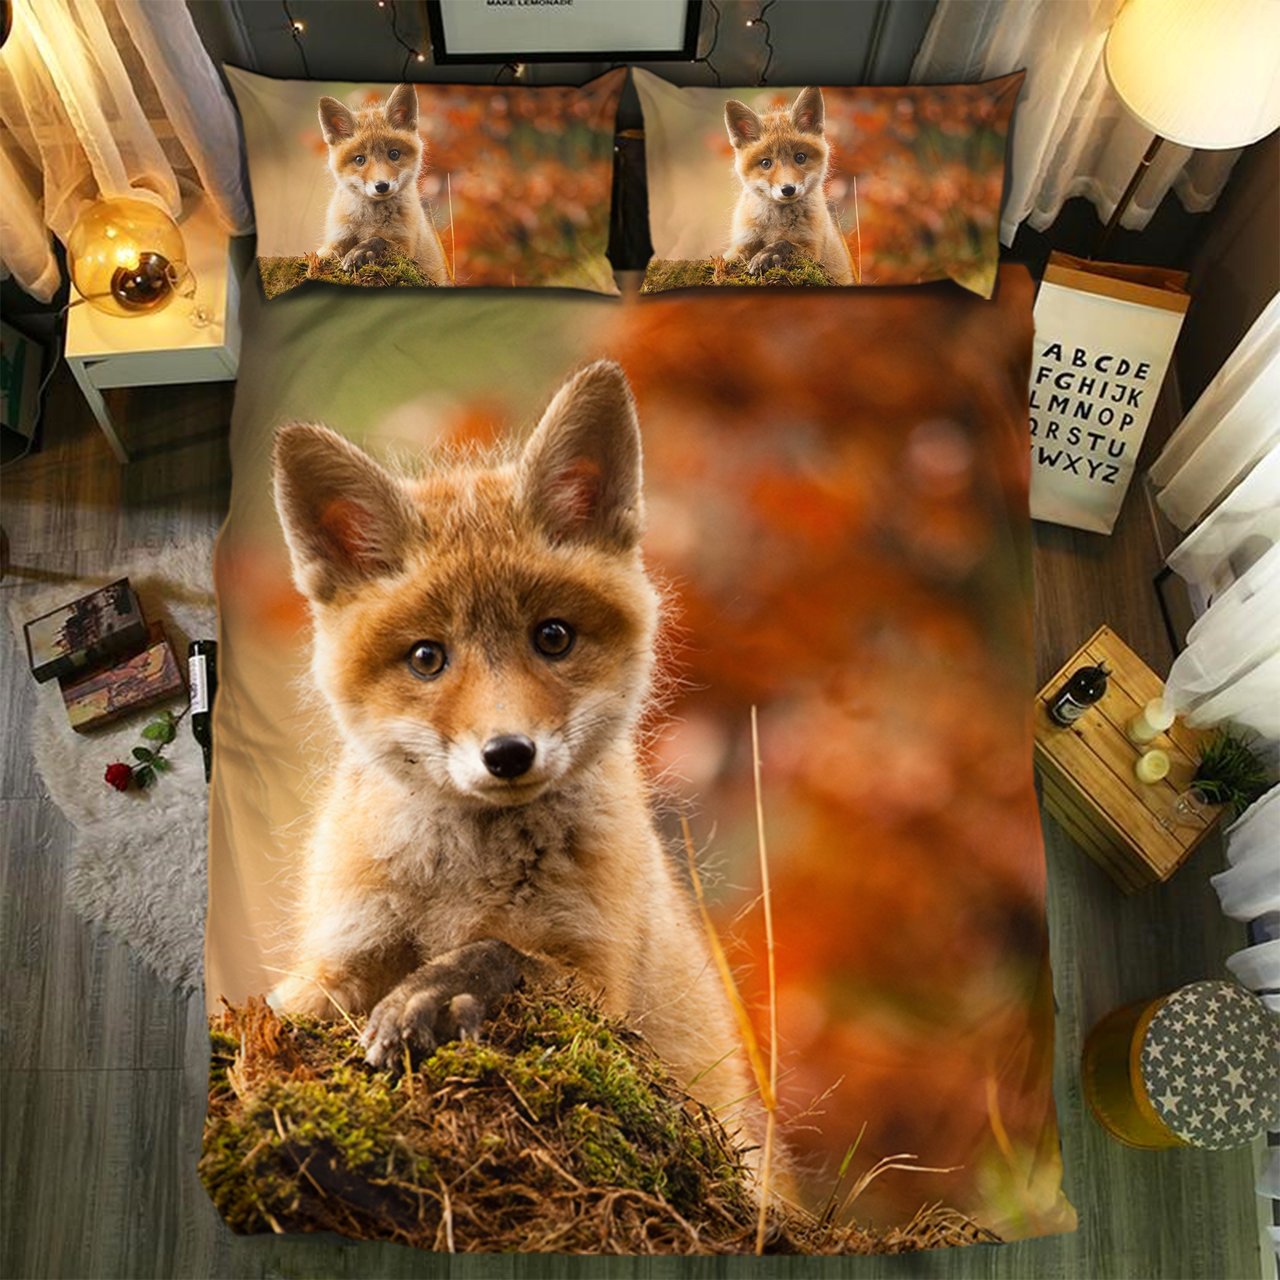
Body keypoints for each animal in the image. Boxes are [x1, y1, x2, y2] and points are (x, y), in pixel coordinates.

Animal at [269, 361, 758, 1154]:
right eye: (427, 657)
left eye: (552, 637)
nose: (507, 754)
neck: (462, 883)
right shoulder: (338, 954)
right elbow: (282, 1008)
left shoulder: (599, 985)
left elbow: (501, 953)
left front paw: (432, 995)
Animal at [317, 84, 451, 286]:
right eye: (360, 159)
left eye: (394, 154)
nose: (382, 186)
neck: (369, 221)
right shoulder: (337, 238)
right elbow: (323, 254)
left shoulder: (406, 248)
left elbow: (380, 240)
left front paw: (361, 251)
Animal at [723, 86, 855, 284]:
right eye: (766, 163)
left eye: (800, 157)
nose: (788, 189)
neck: (776, 224)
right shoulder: (742, 244)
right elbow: (728, 258)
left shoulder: (812, 251)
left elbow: (786, 243)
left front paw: (767, 255)